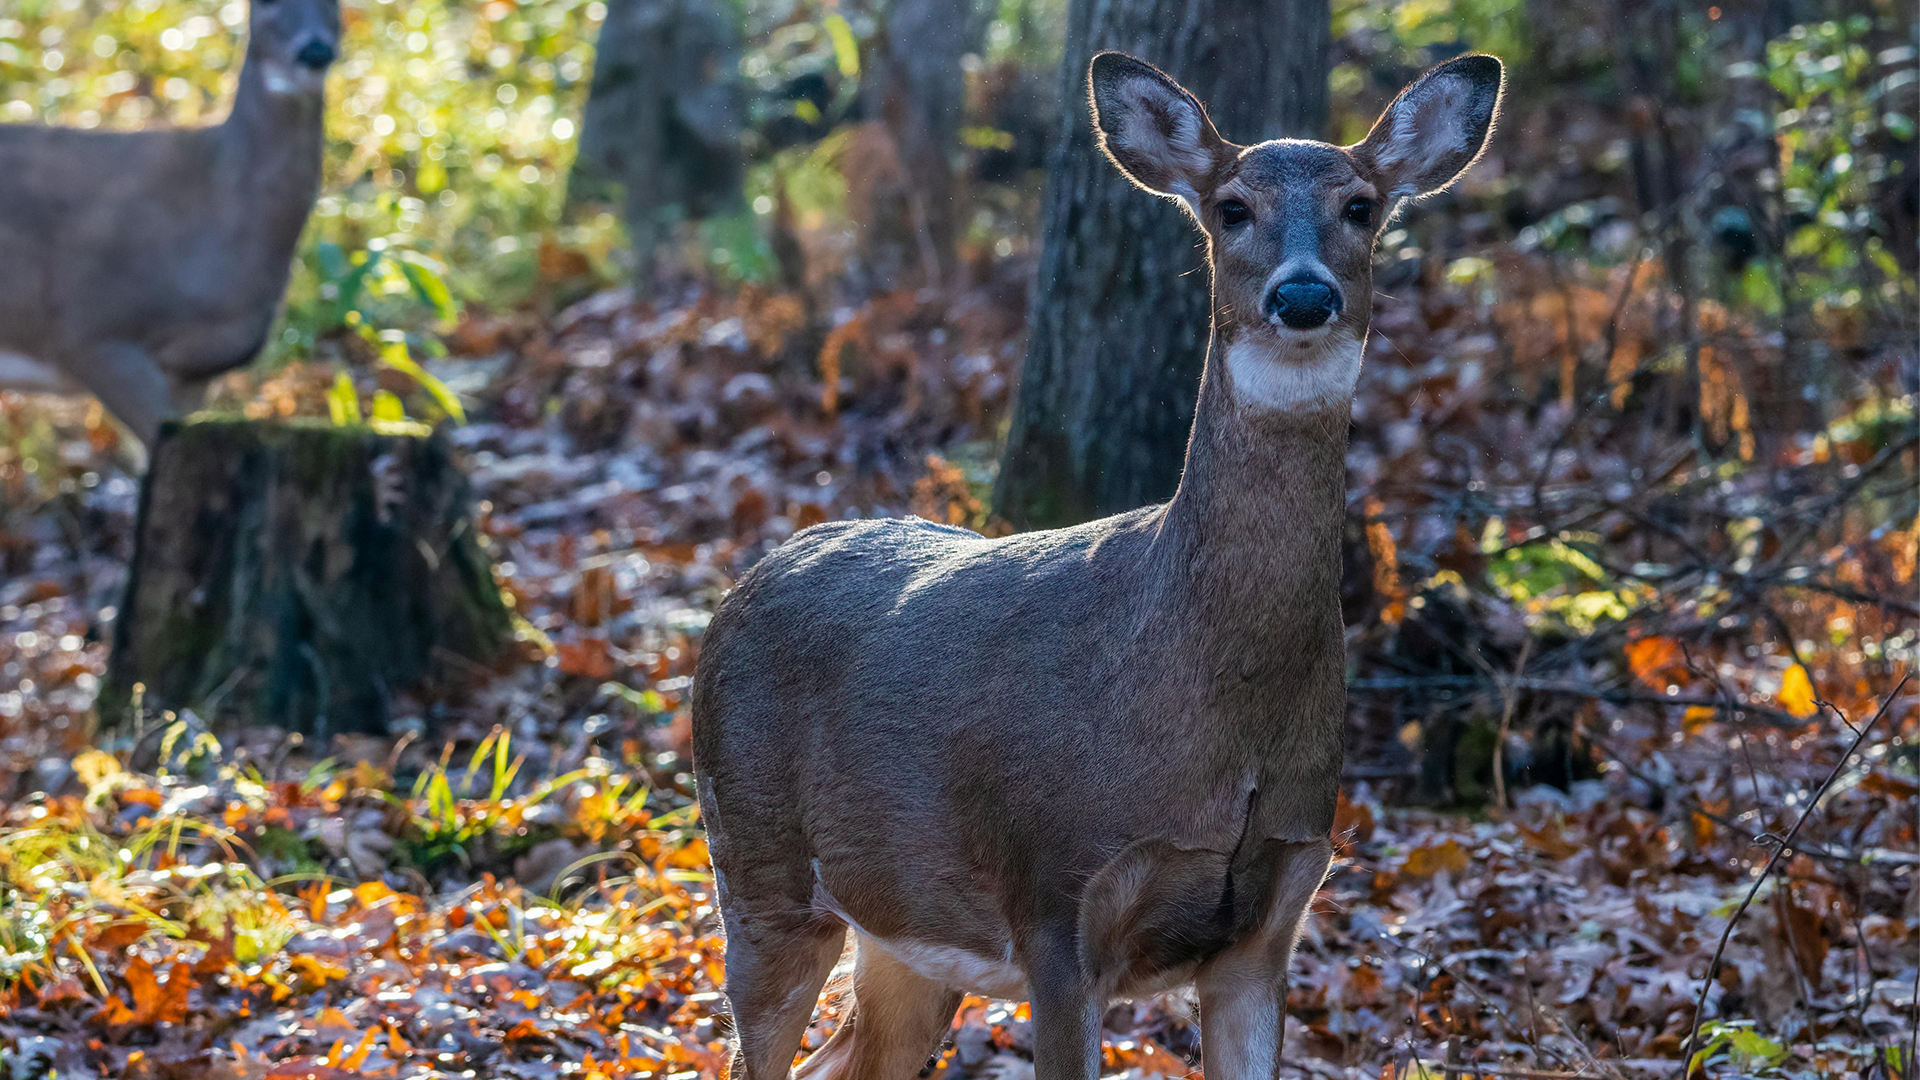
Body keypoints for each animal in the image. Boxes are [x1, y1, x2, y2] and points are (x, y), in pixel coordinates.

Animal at [698, 52, 1505, 1080]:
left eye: (1360, 205)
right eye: (1232, 207)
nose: (1304, 296)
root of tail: (746, 581)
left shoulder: (1272, 917)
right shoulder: (1056, 899)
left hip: (904, 926)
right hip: (756, 859)